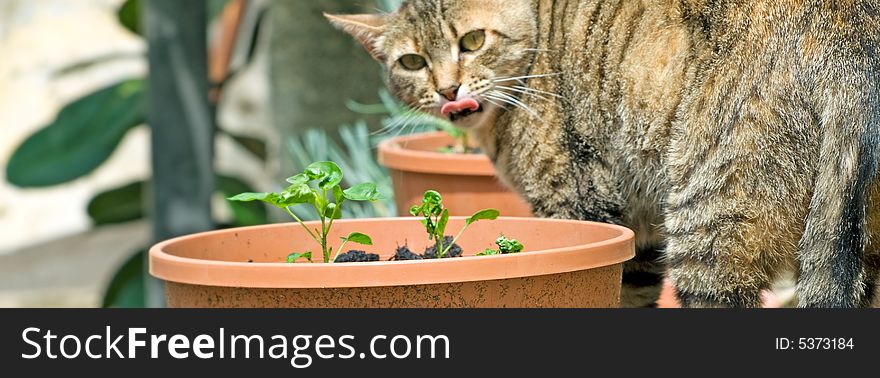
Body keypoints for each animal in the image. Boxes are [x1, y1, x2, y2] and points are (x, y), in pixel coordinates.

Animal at [326, 0, 880, 308]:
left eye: (474, 40)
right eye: (411, 62)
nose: (447, 90)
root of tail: (851, 40)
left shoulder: (579, 204)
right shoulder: (638, 234)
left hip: (709, 225)